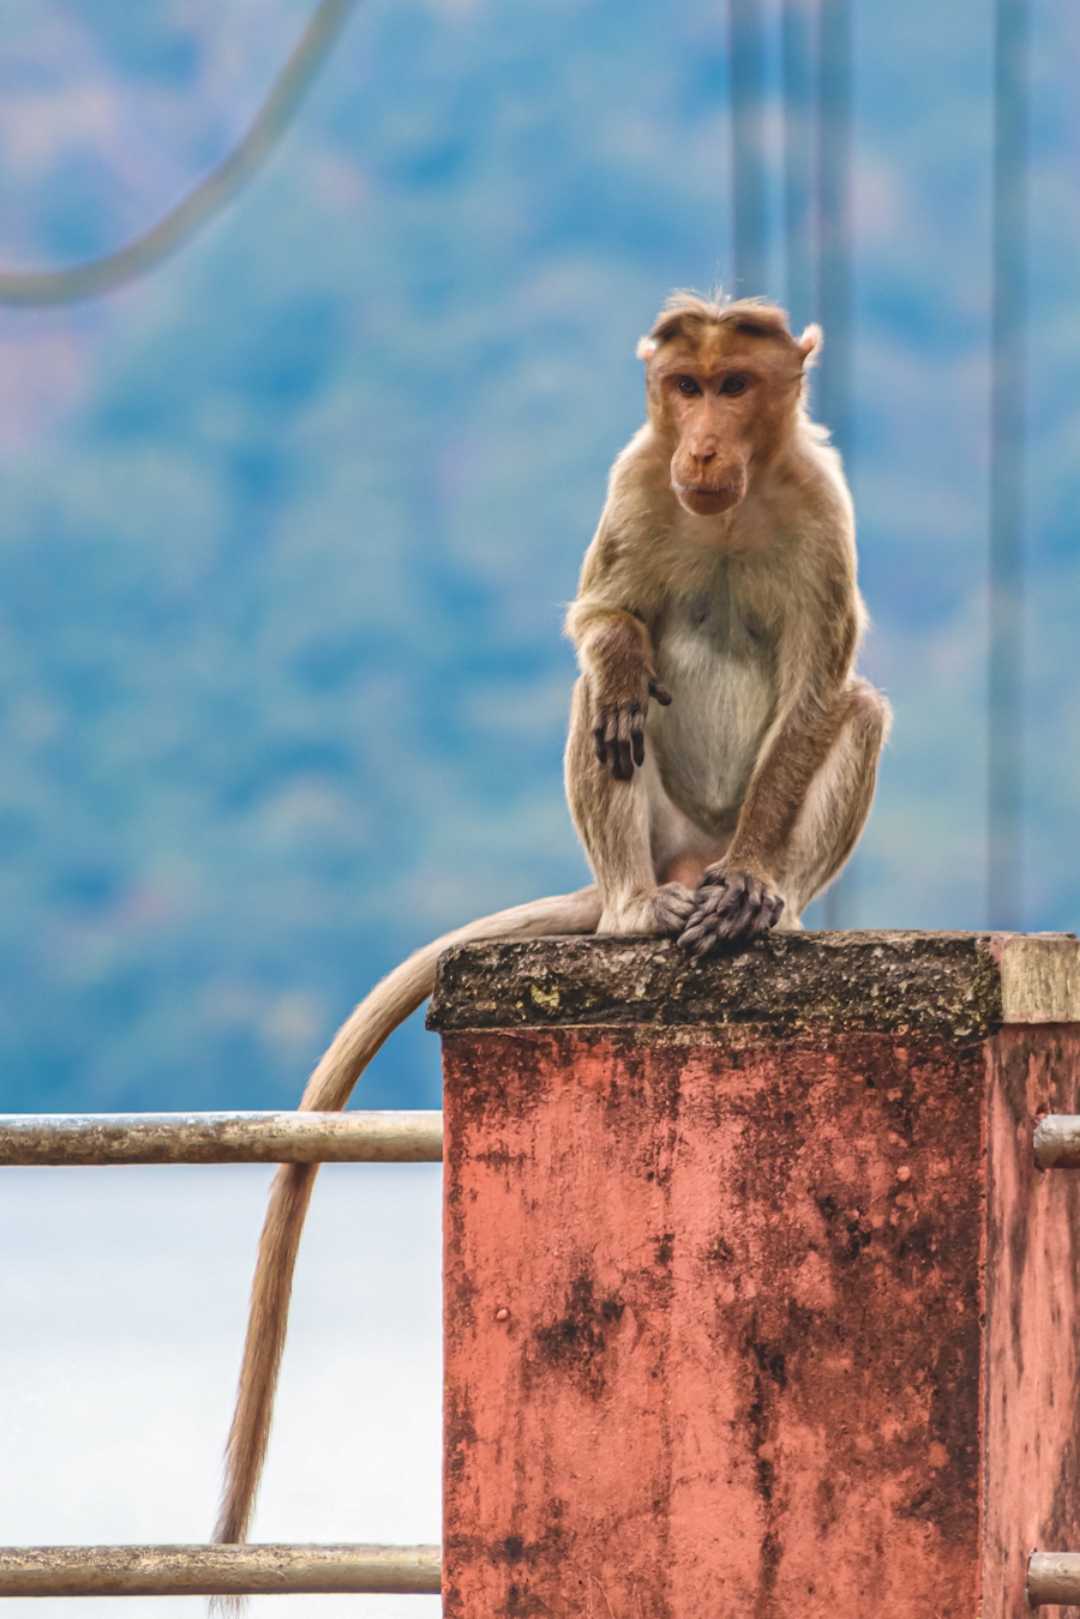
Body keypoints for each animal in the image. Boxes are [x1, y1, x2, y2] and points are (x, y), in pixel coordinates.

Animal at [213, 290, 889, 1554]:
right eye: (685, 384)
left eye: (736, 385)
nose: (702, 449)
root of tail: (679, 856)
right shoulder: (635, 480)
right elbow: (604, 613)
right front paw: (620, 649)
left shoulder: (824, 511)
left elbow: (825, 684)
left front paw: (757, 886)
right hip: (651, 833)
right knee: (605, 711)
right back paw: (631, 911)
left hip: (733, 832)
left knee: (857, 710)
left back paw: (762, 904)